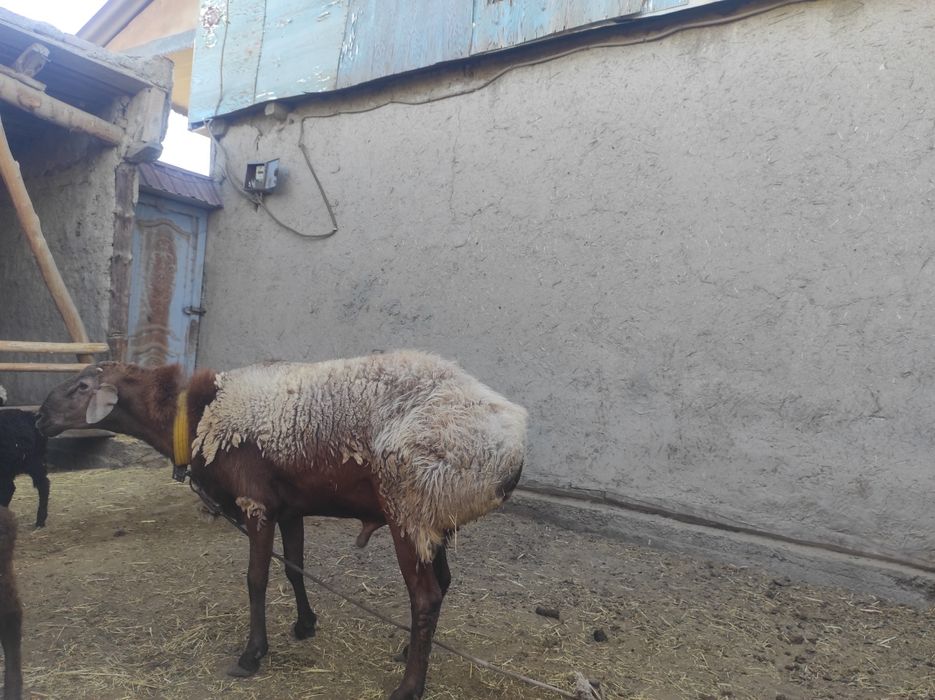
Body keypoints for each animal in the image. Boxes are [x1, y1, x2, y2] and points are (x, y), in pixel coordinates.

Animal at [36, 350, 527, 700]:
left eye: (82, 386)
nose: (39, 419)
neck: (198, 416)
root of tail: (513, 447)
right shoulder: (290, 508)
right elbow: (293, 568)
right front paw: (305, 624)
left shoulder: (257, 503)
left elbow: (256, 578)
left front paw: (252, 655)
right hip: (432, 519)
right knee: (443, 583)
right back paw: (411, 651)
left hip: (408, 509)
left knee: (425, 597)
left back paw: (409, 687)